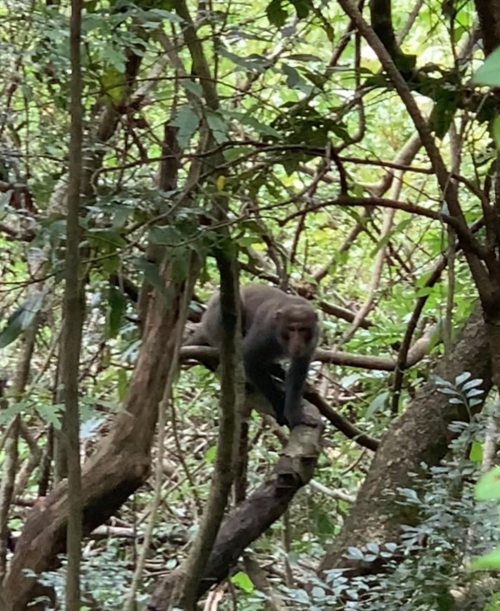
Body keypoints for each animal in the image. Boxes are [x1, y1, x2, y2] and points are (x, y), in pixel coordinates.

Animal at [185, 284, 320, 428]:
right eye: (291, 329)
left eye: (303, 329)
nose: (297, 342)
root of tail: (204, 322)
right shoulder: (265, 333)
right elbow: (249, 359)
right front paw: (279, 404)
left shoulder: (312, 340)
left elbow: (298, 371)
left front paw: (295, 414)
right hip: (215, 325)